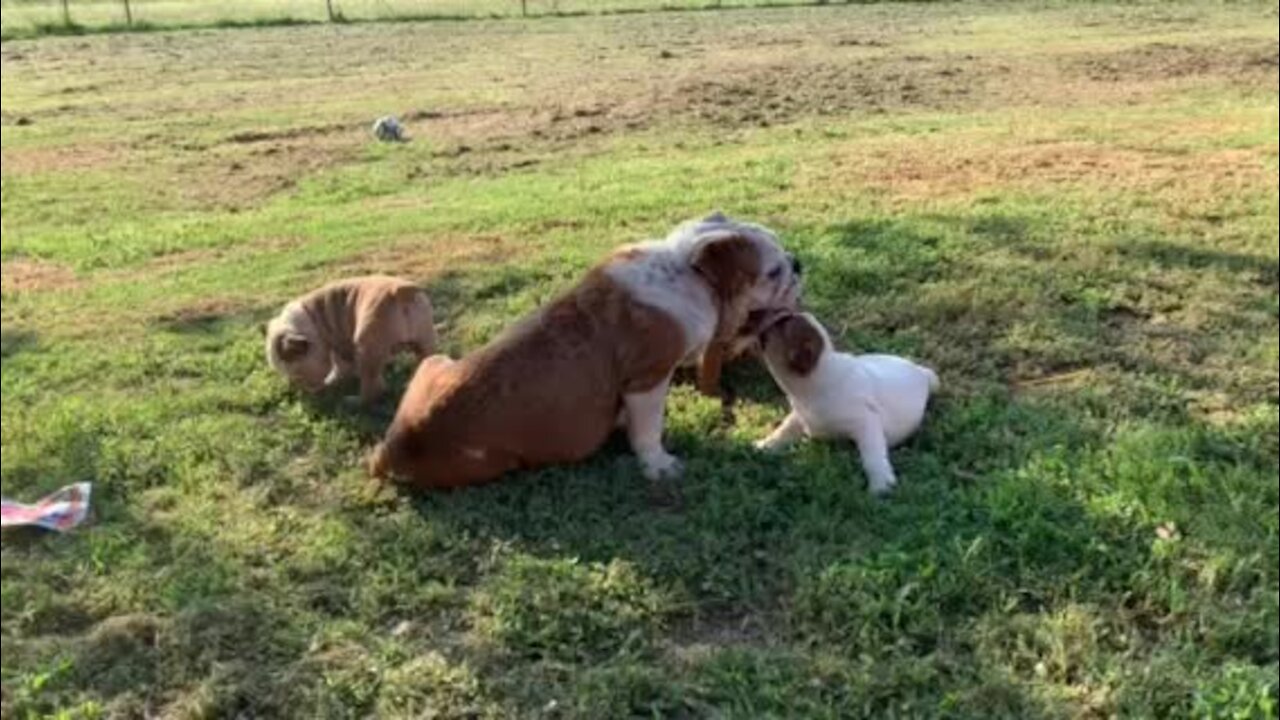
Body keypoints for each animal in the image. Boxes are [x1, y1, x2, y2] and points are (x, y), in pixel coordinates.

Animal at [263, 274, 435, 404]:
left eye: (297, 375)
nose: (303, 391)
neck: (310, 322)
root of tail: (400, 292)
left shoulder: (337, 345)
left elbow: (340, 367)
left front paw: (333, 381)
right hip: (426, 343)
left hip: (366, 349)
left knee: (371, 389)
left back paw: (355, 401)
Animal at [366, 212, 793, 489]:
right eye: (772, 272)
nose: (797, 263)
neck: (686, 268)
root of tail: (391, 450)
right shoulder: (648, 379)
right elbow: (648, 431)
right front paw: (658, 465)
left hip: (434, 362)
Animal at [747, 308, 942, 491]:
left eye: (781, 323)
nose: (754, 313)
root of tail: (919, 370)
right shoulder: (800, 416)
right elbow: (783, 431)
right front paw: (763, 446)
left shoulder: (866, 424)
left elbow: (872, 456)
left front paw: (880, 484)